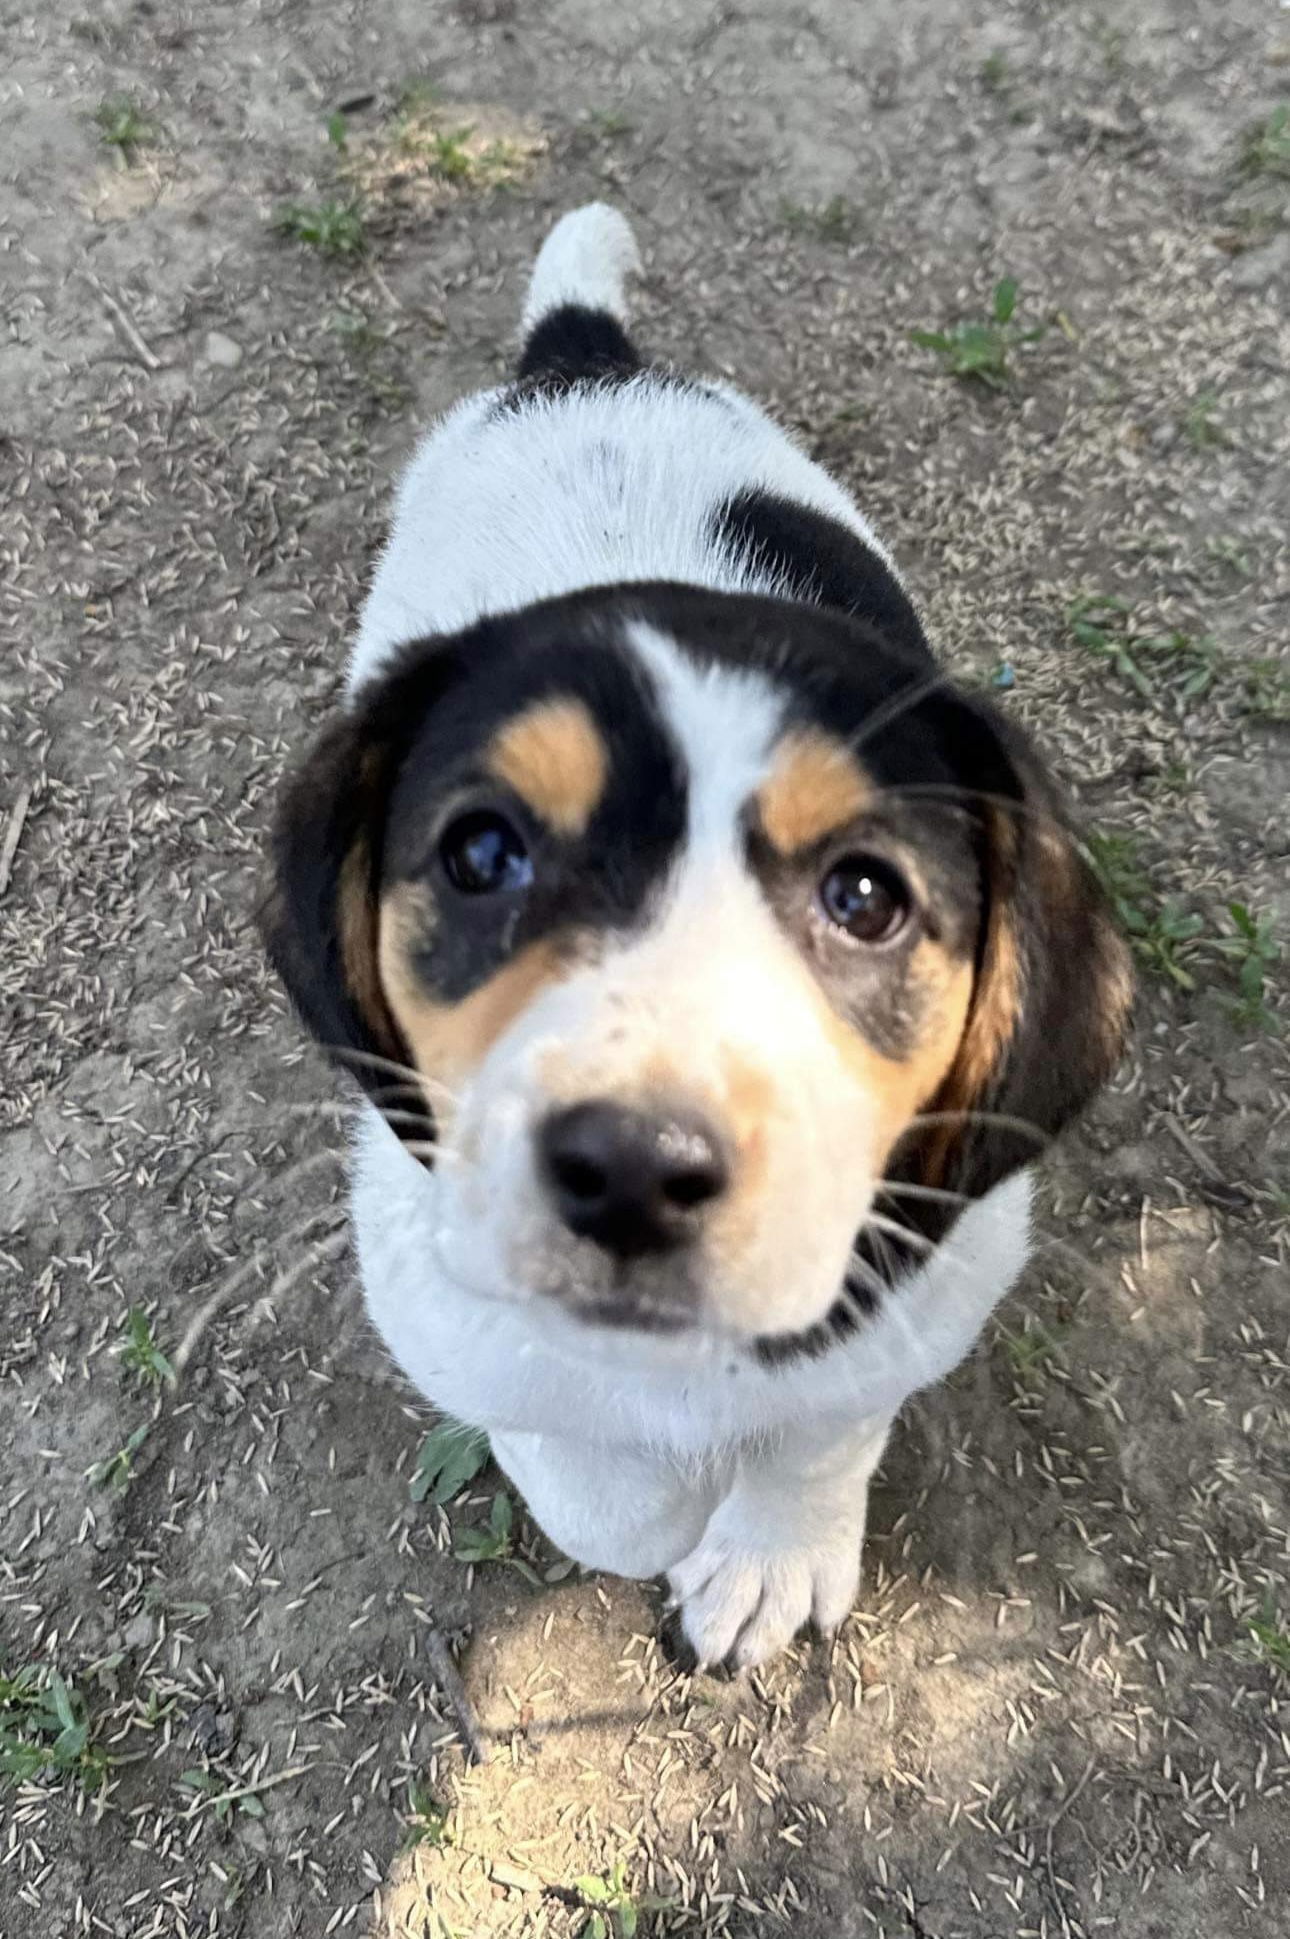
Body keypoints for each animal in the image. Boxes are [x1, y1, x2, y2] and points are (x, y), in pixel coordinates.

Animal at [261, 208, 1125, 1667]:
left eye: (866, 895)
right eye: (482, 853)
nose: (629, 1168)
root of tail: (586, 364)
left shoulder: (915, 1303)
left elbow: (818, 1430)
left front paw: (771, 1547)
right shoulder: (462, 1319)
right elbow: (602, 1488)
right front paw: (668, 1499)